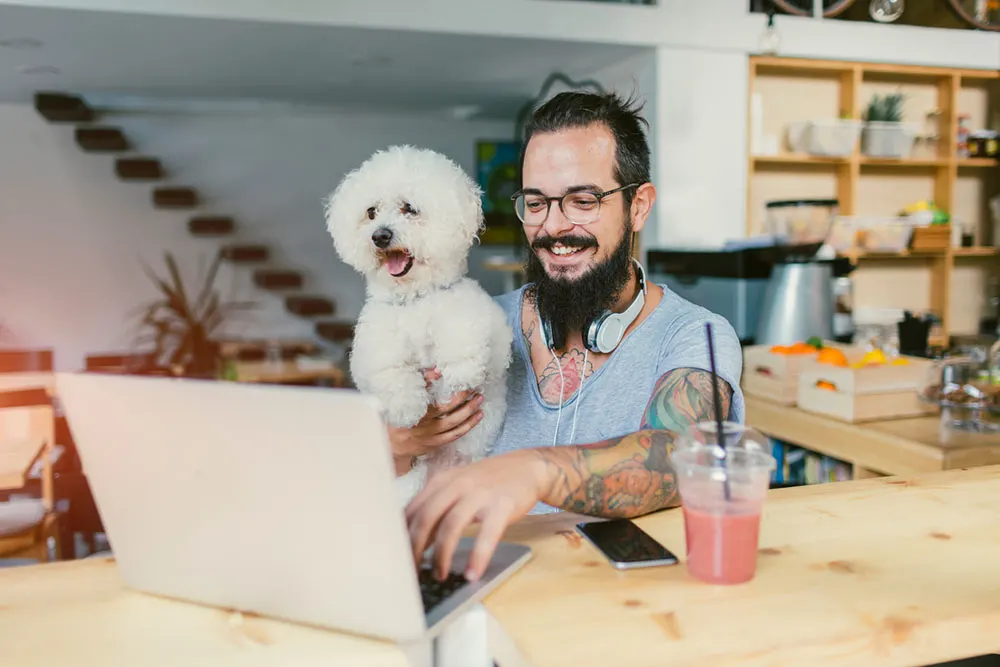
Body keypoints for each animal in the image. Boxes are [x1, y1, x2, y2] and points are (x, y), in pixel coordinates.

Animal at [326, 146, 516, 506]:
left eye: (409, 208)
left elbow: (463, 332)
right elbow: (390, 370)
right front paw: (407, 406)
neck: (414, 298)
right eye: (370, 212)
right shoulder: (373, 348)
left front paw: (461, 370)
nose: (380, 235)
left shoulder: (491, 335)